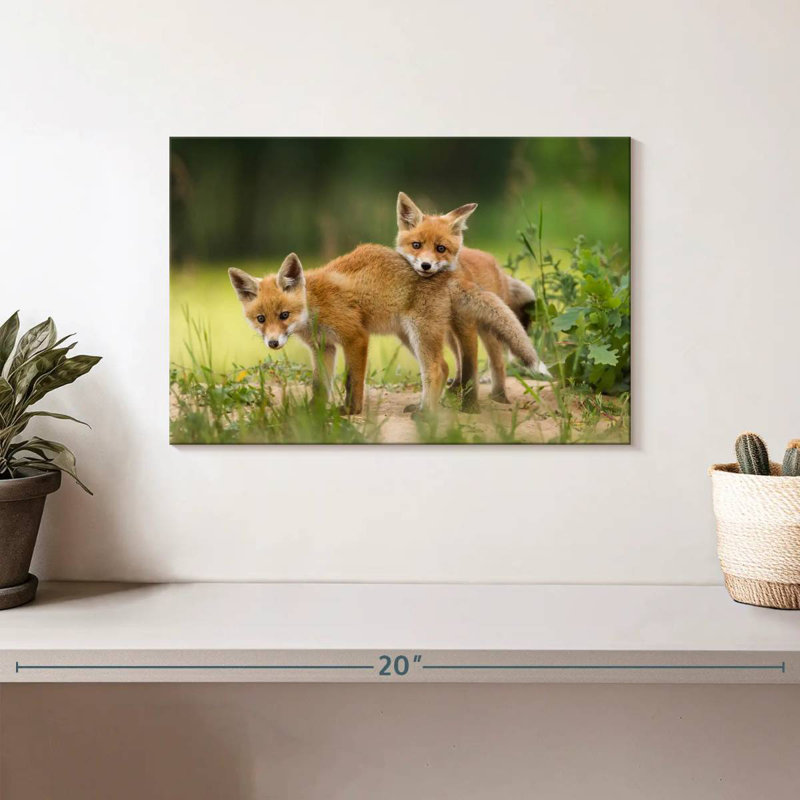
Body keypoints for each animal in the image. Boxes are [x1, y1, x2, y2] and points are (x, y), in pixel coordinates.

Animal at [228, 242, 543, 416]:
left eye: (284, 315)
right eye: (260, 319)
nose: (273, 343)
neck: (314, 305)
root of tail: (447, 274)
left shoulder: (355, 337)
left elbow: (352, 382)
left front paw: (350, 411)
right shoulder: (323, 347)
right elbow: (321, 385)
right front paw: (312, 413)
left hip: (420, 332)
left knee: (438, 368)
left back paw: (426, 414)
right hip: (407, 336)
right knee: (441, 369)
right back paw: (423, 407)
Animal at [395, 191, 542, 411]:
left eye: (441, 248)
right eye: (416, 245)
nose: (426, 265)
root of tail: (494, 262)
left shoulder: (466, 326)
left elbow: (470, 368)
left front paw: (470, 407)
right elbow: (457, 365)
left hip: (488, 329)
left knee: (498, 363)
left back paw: (499, 396)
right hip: (449, 333)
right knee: (458, 361)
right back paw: (455, 387)